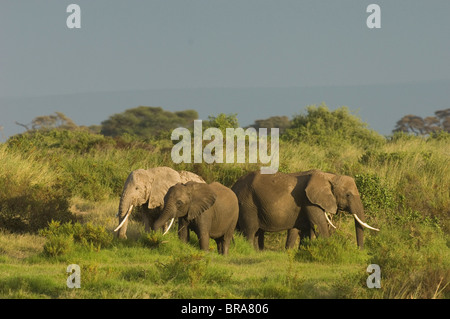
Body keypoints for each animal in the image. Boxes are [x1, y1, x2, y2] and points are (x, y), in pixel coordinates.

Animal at [230, 169, 378, 251]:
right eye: (348, 195)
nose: (360, 251)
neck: (329, 176)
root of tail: (233, 187)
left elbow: (306, 229)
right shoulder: (310, 201)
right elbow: (319, 224)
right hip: (248, 203)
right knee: (250, 230)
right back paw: (251, 251)